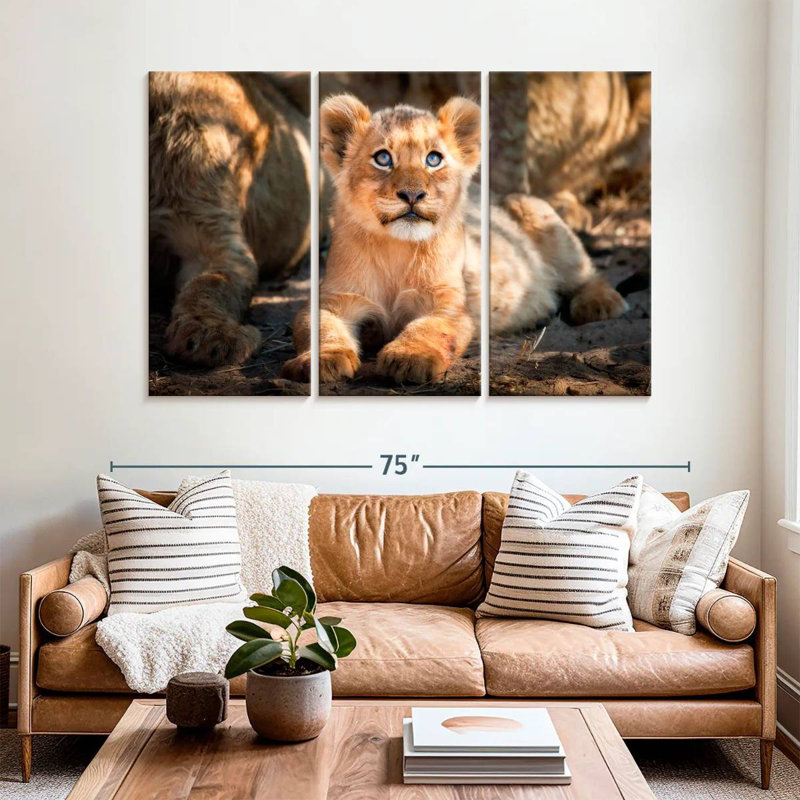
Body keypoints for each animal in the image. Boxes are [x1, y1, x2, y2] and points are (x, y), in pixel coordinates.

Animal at [282, 94, 626, 385]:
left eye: (433, 159)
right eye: (383, 158)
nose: (412, 194)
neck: (396, 250)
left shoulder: (449, 304)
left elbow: (428, 328)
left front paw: (410, 357)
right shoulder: (335, 298)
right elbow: (319, 327)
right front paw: (322, 361)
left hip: (538, 215)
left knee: (586, 273)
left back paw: (598, 304)